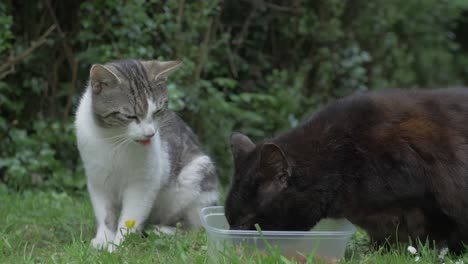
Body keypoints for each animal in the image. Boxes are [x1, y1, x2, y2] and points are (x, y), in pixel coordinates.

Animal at [74, 59, 218, 252]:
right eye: (130, 116)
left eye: (157, 111)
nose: (150, 133)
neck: (114, 140)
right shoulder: (97, 180)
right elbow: (105, 213)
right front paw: (103, 239)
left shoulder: (143, 182)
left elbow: (130, 218)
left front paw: (118, 245)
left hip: (196, 176)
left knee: (192, 227)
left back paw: (163, 231)